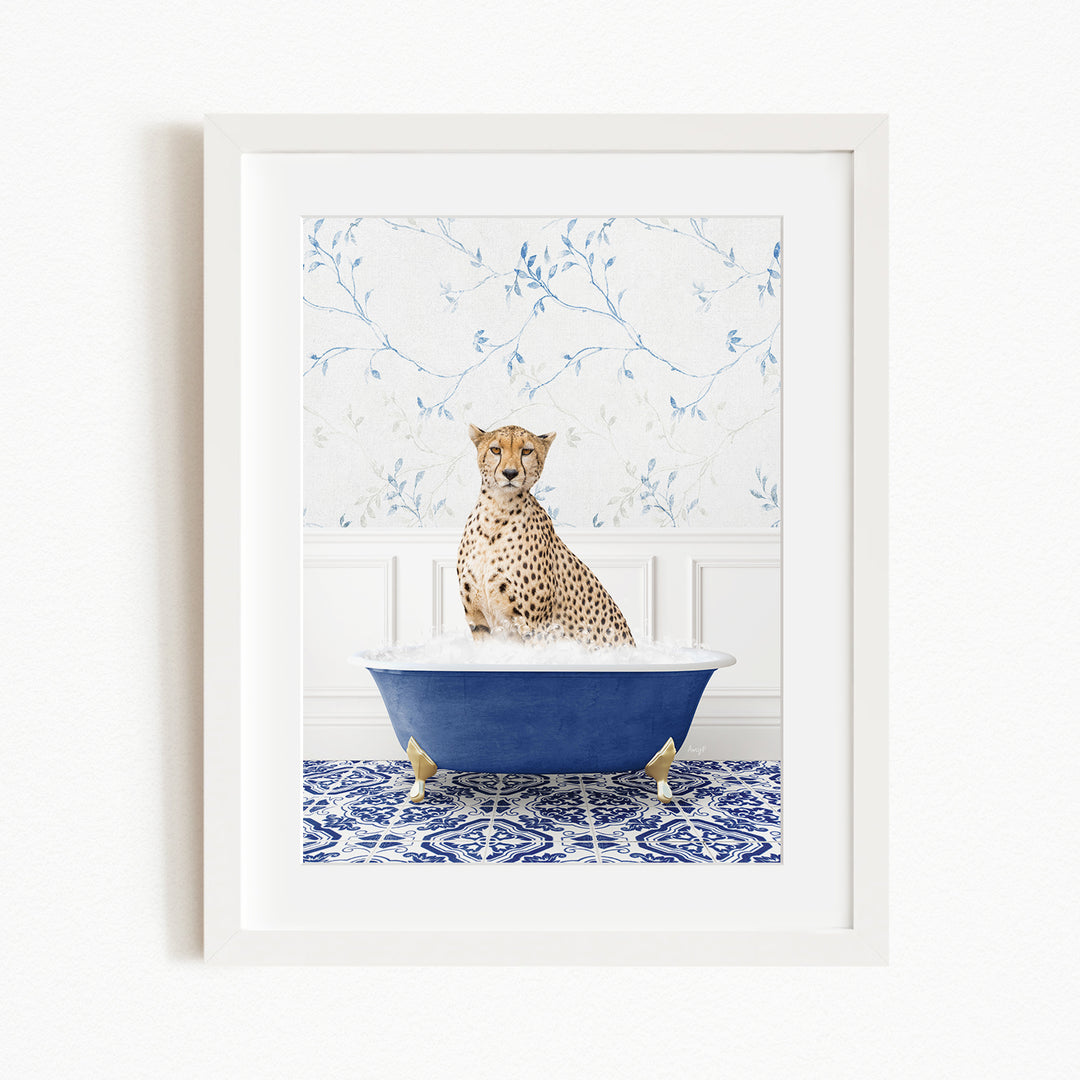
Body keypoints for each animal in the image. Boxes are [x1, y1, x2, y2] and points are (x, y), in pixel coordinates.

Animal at [456, 422, 635, 647]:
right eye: (495, 449)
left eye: (526, 451)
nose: (510, 473)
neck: (497, 511)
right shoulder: (478, 621)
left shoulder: (535, 626)